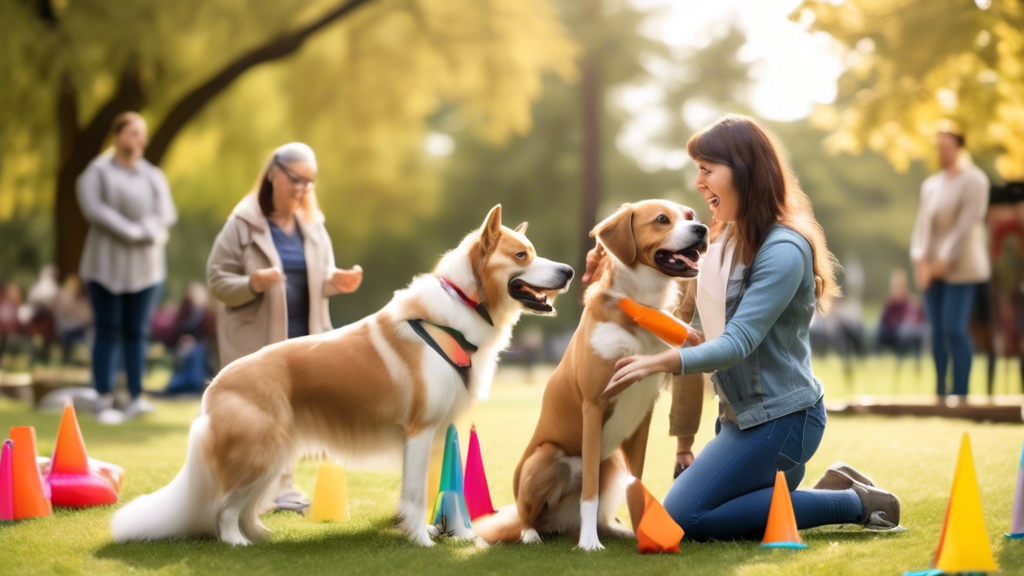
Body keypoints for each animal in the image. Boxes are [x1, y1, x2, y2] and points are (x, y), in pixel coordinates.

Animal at [114, 203, 577, 545]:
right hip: (258, 454)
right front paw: (422, 540)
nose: (570, 271)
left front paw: (458, 535)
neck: (463, 307)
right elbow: (415, 495)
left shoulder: (441, 433)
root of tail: (214, 388)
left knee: (242, 508)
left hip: (272, 459)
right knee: (223, 510)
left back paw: (260, 536)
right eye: (522, 255)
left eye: (532, 250)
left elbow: (445, 491)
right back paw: (238, 544)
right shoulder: (418, 431)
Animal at [475, 199, 708, 549]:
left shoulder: (644, 412)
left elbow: (636, 483)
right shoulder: (594, 405)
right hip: (545, 458)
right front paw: (589, 544)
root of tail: (559, 523)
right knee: (526, 517)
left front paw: (643, 534)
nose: (703, 229)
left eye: (690, 216)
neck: (639, 306)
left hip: (611, 463)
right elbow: (589, 493)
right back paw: (535, 535)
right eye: (662, 219)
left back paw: (614, 529)